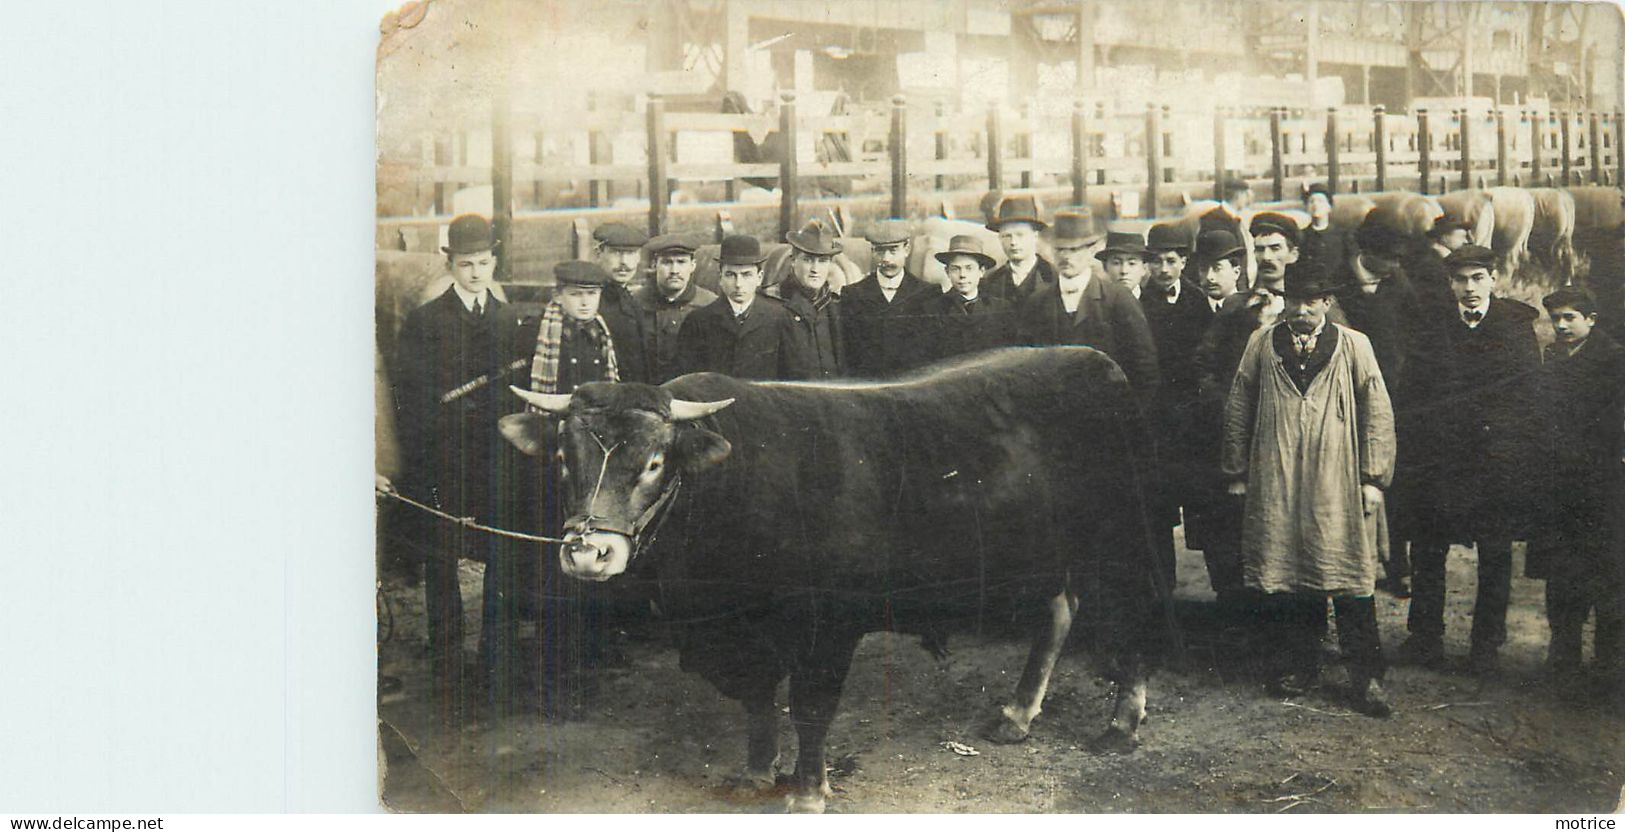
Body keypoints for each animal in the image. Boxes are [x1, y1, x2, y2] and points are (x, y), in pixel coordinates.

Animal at [494, 344, 1170, 812]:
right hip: (1044, 551)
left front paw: (807, 791)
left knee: (1134, 618)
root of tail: (1096, 360)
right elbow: (759, 701)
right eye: (564, 459)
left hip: (1126, 536)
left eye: (657, 462)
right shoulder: (744, 632)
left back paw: (1120, 725)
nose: (589, 552)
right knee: (1057, 612)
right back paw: (1018, 714)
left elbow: (811, 708)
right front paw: (757, 771)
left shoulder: (825, 627)